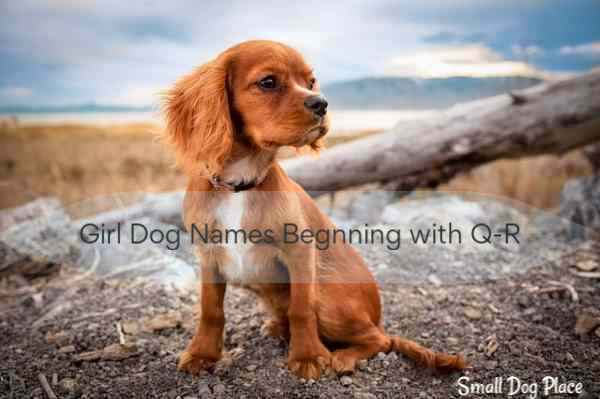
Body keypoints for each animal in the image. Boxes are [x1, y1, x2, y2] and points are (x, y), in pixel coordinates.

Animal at [163, 40, 464, 382]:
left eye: (310, 82)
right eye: (268, 82)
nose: (322, 103)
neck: (240, 184)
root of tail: (377, 317)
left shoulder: (299, 252)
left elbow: (301, 308)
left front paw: (307, 357)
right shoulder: (209, 255)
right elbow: (211, 310)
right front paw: (202, 355)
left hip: (331, 297)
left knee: (380, 339)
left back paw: (343, 357)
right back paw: (279, 329)